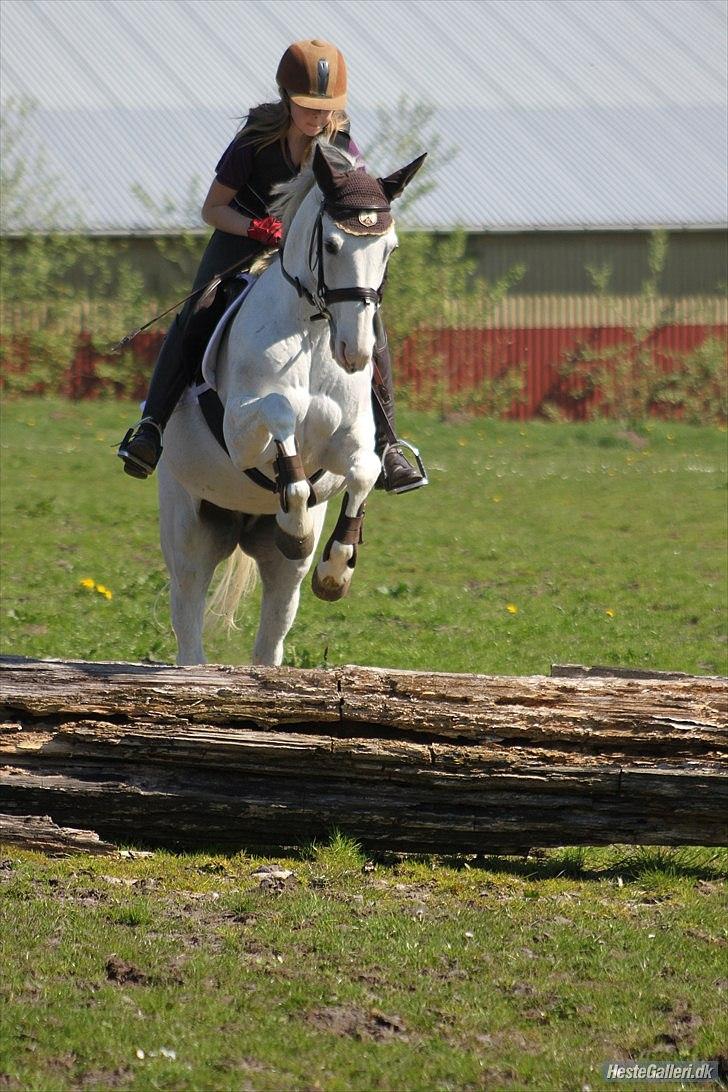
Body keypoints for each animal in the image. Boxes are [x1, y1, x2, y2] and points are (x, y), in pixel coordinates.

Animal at [157, 143, 423, 663]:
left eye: (390, 248)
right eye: (332, 245)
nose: (356, 351)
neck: (315, 334)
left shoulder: (351, 443)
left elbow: (364, 472)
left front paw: (336, 570)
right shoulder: (241, 433)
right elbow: (280, 417)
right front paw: (295, 525)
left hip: (276, 569)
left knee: (274, 628)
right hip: (189, 529)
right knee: (189, 614)